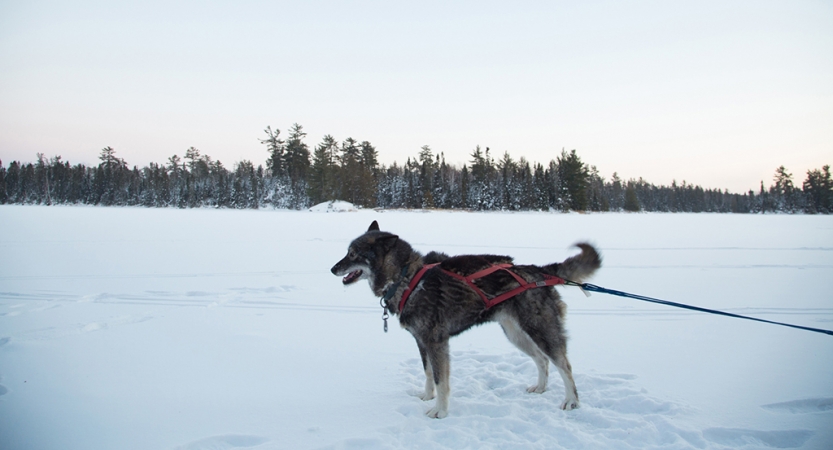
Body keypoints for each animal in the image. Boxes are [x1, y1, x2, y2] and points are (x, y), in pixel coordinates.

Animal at [330, 221, 600, 418]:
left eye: (353, 254)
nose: (333, 269)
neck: (407, 278)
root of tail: (538, 269)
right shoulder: (421, 342)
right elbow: (428, 374)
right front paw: (427, 397)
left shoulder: (436, 342)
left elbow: (441, 380)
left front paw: (439, 411)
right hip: (516, 335)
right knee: (542, 360)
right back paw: (541, 388)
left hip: (541, 330)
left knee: (564, 365)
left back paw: (572, 401)